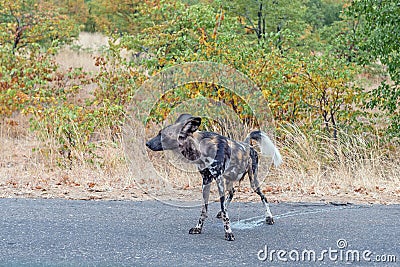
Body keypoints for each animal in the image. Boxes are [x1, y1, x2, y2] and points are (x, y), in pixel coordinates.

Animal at [145, 114, 282, 242]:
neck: (201, 148)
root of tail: (248, 145)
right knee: (232, 193)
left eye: (162, 135)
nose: (147, 143)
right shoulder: (206, 181)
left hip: (253, 182)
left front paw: (228, 233)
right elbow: (204, 210)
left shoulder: (218, 179)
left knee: (263, 197)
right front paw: (198, 228)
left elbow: (224, 211)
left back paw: (269, 217)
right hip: (229, 179)